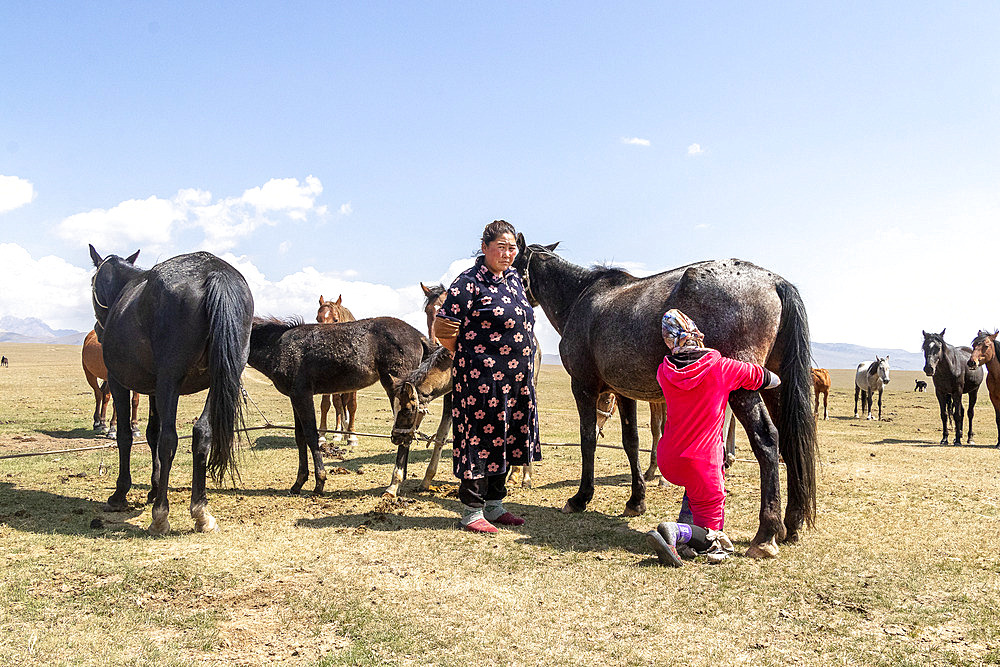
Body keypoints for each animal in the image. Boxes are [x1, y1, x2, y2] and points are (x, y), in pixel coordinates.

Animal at [90, 243, 254, 536]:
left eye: (91, 282)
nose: (98, 329)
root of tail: (215, 272)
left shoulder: (119, 383)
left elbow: (127, 436)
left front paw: (120, 494)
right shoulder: (155, 390)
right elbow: (151, 434)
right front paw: (154, 489)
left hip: (170, 380)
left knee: (169, 439)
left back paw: (160, 516)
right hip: (219, 379)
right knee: (202, 433)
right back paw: (201, 512)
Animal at [316, 296, 360, 446]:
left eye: (335, 319)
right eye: (318, 319)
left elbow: (352, 406)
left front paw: (352, 436)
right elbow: (326, 405)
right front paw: (322, 435)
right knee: (338, 404)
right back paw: (338, 433)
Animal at [512, 235, 816, 560]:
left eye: (513, 264)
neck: (580, 300)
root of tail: (774, 281)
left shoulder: (583, 387)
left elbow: (588, 440)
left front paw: (581, 498)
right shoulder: (624, 393)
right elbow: (631, 442)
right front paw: (636, 500)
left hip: (744, 389)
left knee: (768, 441)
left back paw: (766, 534)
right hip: (776, 386)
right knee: (789, 441)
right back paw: (791, 523)